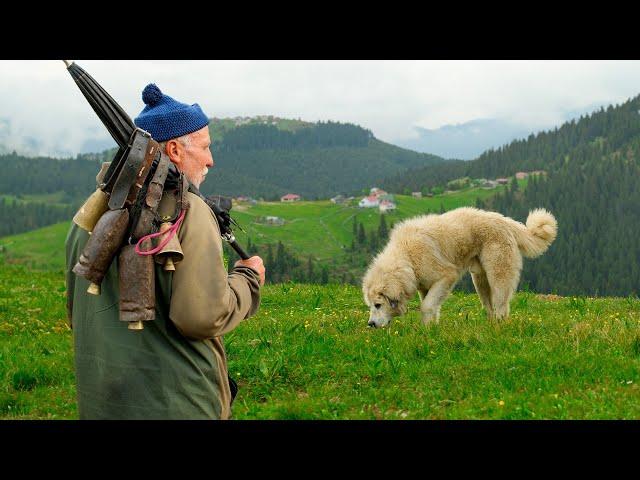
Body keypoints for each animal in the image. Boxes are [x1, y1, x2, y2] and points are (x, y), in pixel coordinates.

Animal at [362, 208, 556, 328]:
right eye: (371, 305)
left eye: (378, 305)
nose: (370, 324)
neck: (407, 257)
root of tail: (505, 221)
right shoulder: (425, 286)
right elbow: (431, 306)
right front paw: (430, 328)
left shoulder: (446, 276)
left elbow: (426, 306)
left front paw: (427, 329)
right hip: (479, 280)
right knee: (489, 306)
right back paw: (490, 326)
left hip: (498, 275)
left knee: (501, 305)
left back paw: (500, 327)